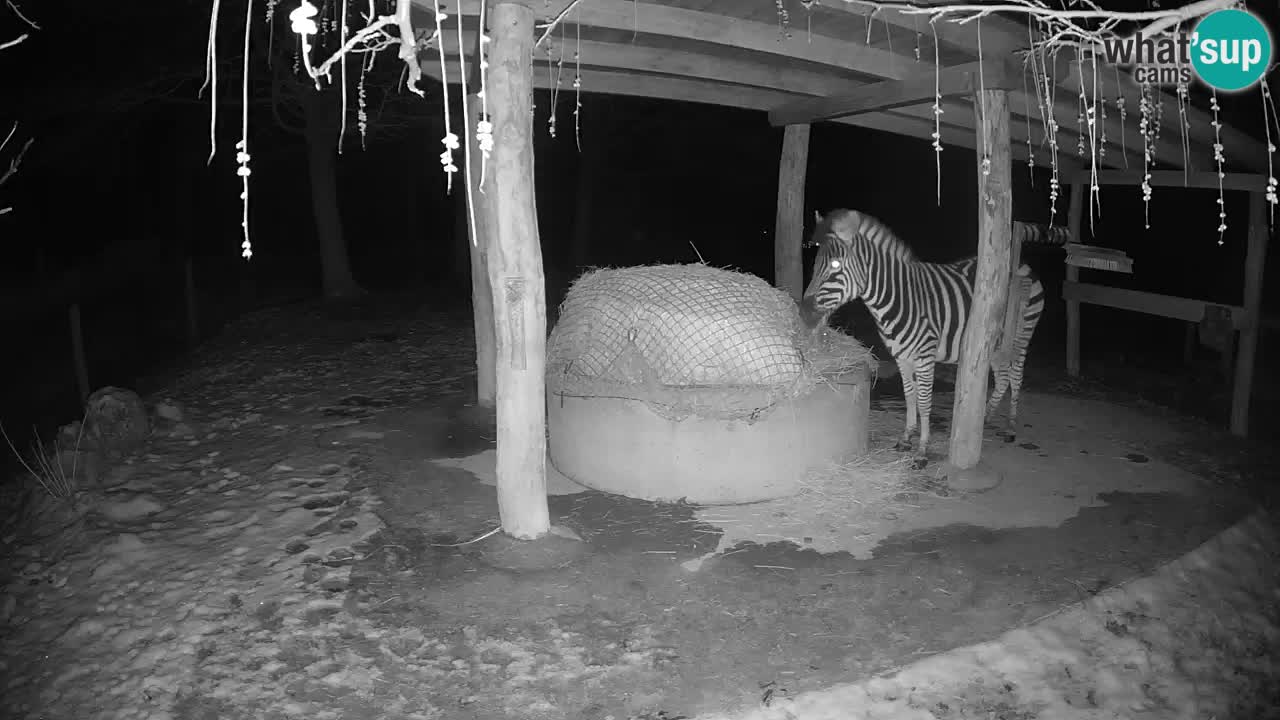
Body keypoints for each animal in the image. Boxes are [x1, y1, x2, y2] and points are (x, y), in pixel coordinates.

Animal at [798, 207, 1049, 466]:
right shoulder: (901, 355)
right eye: (815, 264)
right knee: (1002, 378)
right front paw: (906, 437)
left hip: (1021, 335)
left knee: (1016, 376)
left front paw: (922, 450)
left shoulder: (925, 355)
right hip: (995, 342)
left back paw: (1010, 427)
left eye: (836, 264)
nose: (803, 312)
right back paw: (986, 418)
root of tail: (1022, 264)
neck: (897, 298)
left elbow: (925, 400)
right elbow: (910, 396)